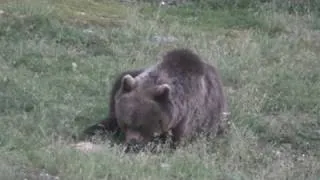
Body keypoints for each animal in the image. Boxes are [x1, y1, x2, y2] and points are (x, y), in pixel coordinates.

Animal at [81, 48, 229, 152]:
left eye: (142, 125)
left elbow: (171, 144)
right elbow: (108, 121)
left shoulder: (186, 120)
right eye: (126, 123)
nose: (132, 142)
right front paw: (92, 131)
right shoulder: (118, 98)